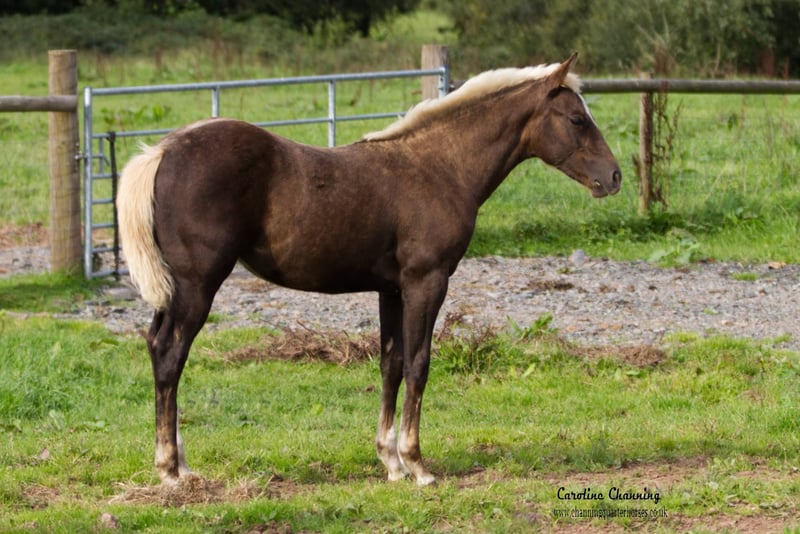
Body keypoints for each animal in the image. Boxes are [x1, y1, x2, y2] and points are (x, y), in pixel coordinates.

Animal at [117, 53, 621, 486]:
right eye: (577, 119)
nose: (613, 177)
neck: (439, 167)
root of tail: (161, 152)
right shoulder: (426, 282)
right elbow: (418, 363)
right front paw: (417, 465)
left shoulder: (391, 290)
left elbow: (390, 364)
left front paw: (390, 461)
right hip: (198, 286)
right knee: (170, 354)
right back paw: (169, 469)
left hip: (176, 290)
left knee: (156, 346)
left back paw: (181, 463)